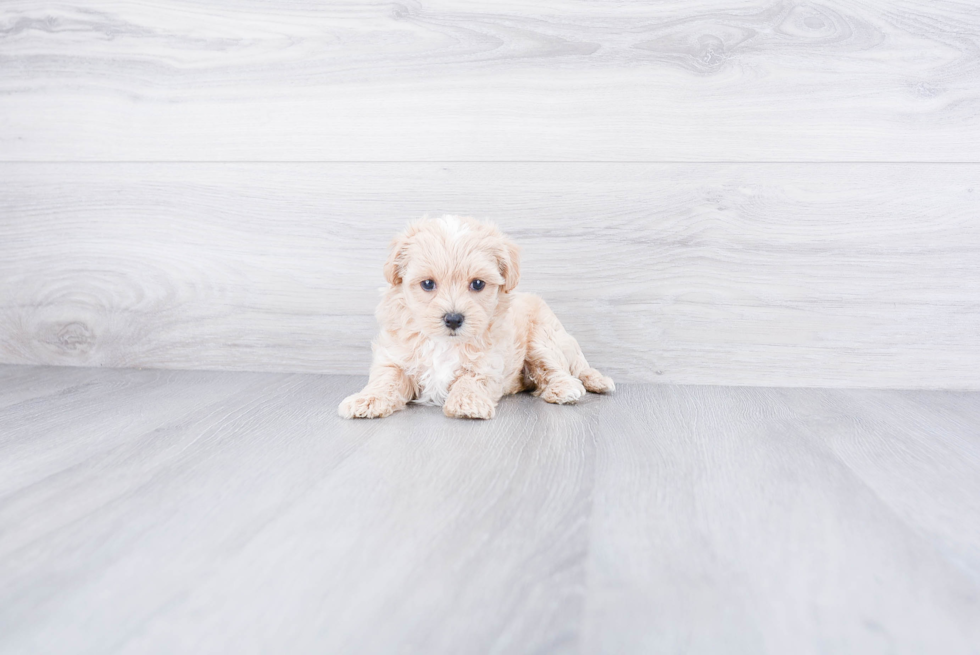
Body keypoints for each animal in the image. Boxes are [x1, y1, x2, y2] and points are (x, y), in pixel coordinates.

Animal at [336, 215, 612, 420]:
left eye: (477, 284)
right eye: (427, 284)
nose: (453, 319)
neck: (444, 343)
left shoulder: (488, 362)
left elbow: (471, 379)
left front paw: (467, 403)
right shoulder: (395, 357)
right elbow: (386, 380)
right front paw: (367, 399)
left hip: (543, 337)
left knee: (557, 368)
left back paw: (564, 388)